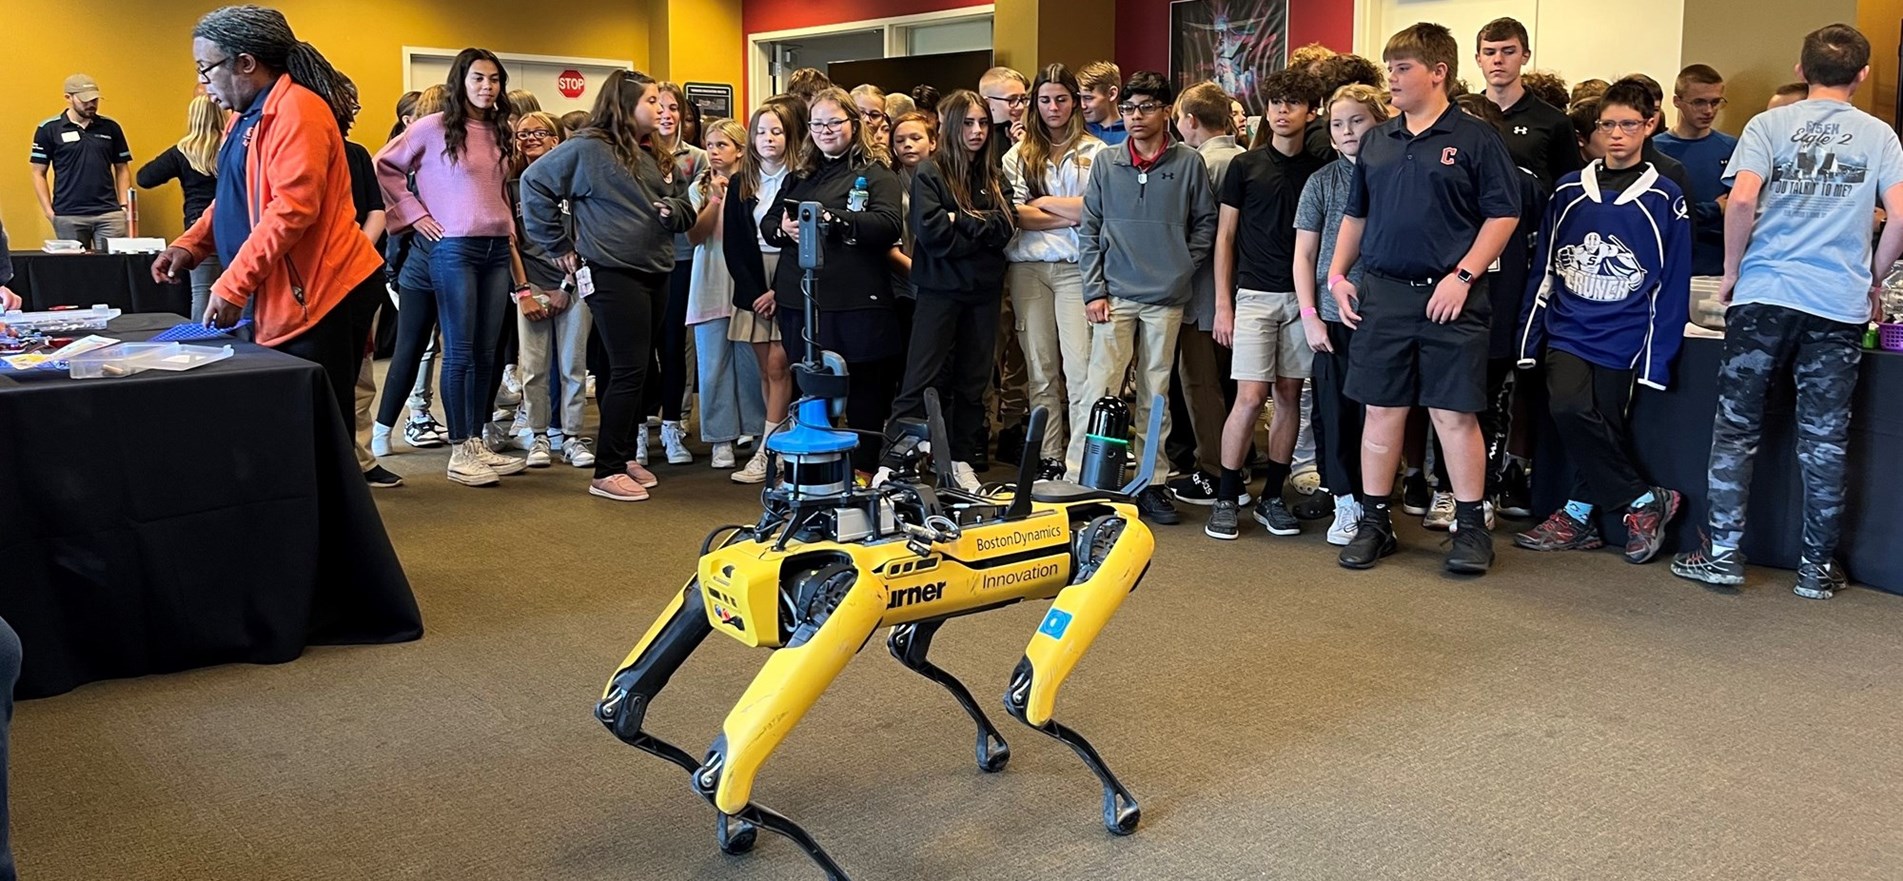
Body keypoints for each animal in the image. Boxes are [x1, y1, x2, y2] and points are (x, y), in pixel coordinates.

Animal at [593, 201, 1157, 881]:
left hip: (1110, 548)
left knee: (1021, 688)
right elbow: (636, 714)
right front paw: (740, 826)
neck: (811, 523)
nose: (727, 588)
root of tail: (1116, 496)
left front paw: (1119, 804)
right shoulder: (763, 595)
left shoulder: (842, 593)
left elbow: (1028, 699)